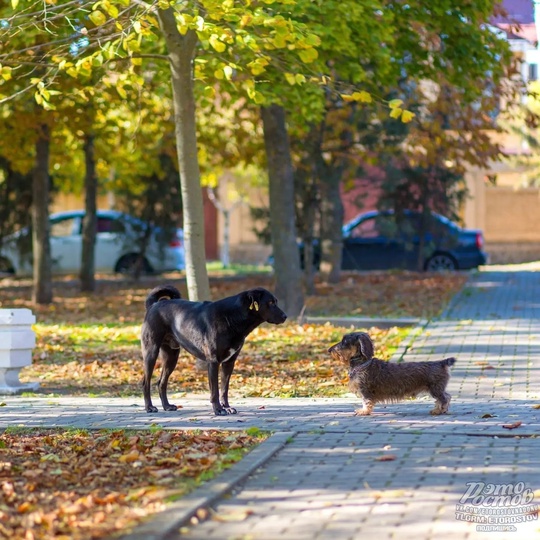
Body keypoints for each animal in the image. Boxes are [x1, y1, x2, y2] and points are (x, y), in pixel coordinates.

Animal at [141, 284, 288, 416]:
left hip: (171, 356)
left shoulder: (229, 362)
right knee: (145, 382)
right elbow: (215, 390)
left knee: (161, 382)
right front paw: (218, 409)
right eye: (270, 303)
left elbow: (224, 388)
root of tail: (154, 305)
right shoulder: (213, 361)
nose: (285, 316)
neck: (233, 316)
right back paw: (149, 407)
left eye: (275, 302)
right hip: (151, 352)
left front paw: (227, 407)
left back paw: (167, 406)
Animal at [326, 332, 458, 416]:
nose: (329, 350)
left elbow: (366, 401)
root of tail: (441, 362)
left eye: (344, 342)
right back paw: (438, 410)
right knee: (445, 397)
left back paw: (440, 410)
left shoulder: (365, 390)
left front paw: (364, 411)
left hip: (435, 388)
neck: (363, 363)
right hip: (436, 388)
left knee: (444, 398)